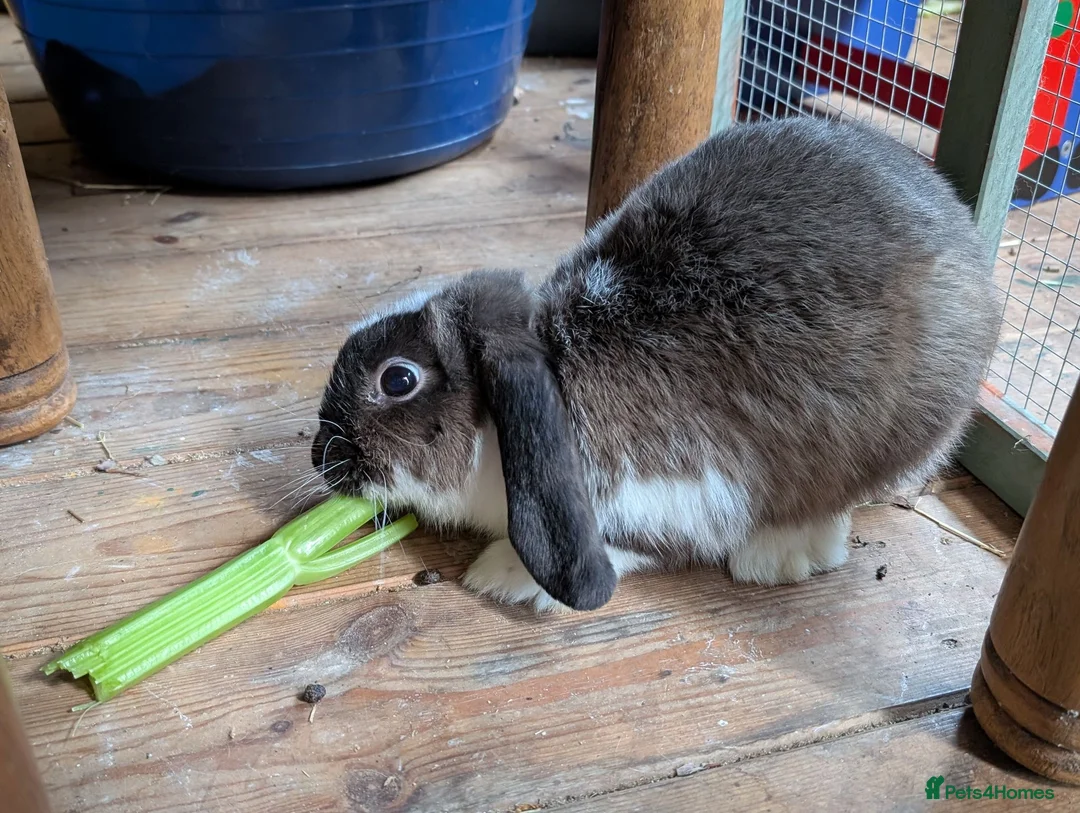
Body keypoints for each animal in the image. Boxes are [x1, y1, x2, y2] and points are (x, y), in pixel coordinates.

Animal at [311, 116, 999, 613]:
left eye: (398, 378)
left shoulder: (677, 492)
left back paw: (781, 554)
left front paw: (505, 576)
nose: (322, 457)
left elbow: (634, 546)